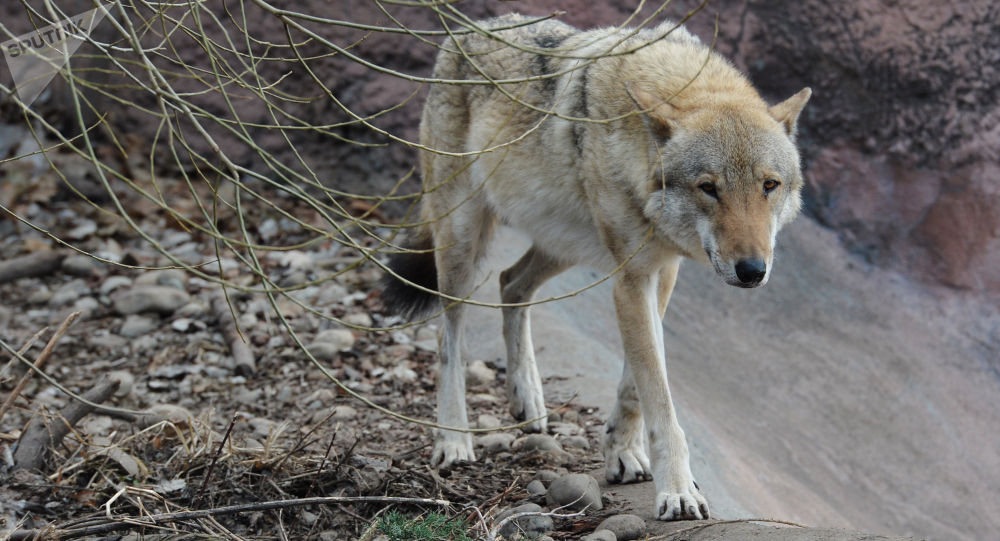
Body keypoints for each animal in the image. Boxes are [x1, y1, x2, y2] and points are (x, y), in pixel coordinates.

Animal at [378, 12, 808, 520]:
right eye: (709, 187)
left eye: (769, 185)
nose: (752, 270)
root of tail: (470, 28)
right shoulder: (631, 278)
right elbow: (658, 396)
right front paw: (677, 491)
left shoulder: (661, 271)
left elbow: (634, 386)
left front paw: (622, 452)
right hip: (462, 243)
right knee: (450, 337)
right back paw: (454, 439)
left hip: (563, 245)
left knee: (510, 284)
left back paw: (529, 399)